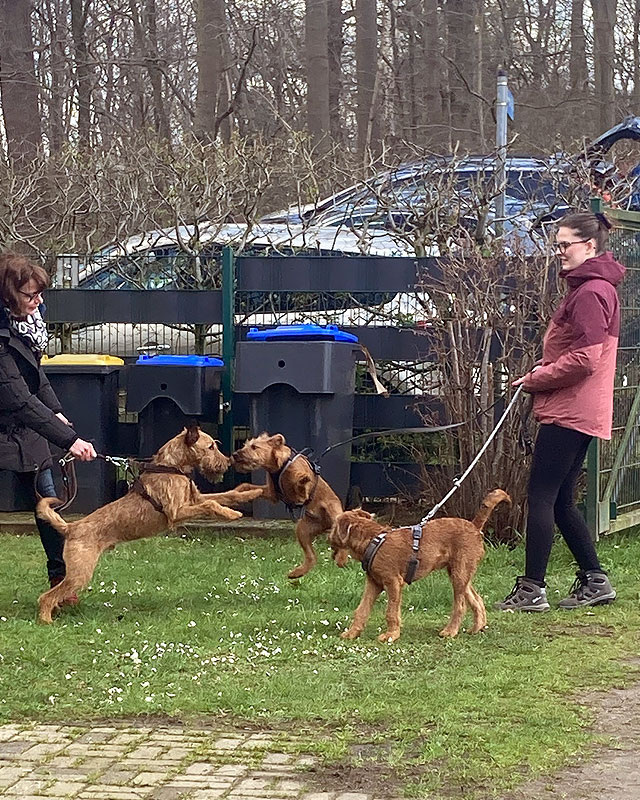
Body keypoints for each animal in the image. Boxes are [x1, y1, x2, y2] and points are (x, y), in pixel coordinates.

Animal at [36, 425, 263, 623]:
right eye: (210, 447)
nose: (227, 462)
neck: (171, 467)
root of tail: (71, 527)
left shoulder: (194, 499)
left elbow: (227, 495)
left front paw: (252, 492)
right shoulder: (177, 513)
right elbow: (212, 503)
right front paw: (231, 514)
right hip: (80, 572)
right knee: (46, 596)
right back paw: (46, 620)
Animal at [231, 432, 347, 578]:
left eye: (254, 447)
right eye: (245, 445)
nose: (235, 454)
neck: (280, 466)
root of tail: (326, 524)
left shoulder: (300, 487)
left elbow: (301, 484)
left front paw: (302, 481)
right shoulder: (272, 494)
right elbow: (248, 486)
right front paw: (239, 491)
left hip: (335, 517)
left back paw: (341, 559)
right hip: (302, 530)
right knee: (311, 557)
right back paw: (297, 573)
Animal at [328, 489, 510, 641]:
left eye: (334, 525)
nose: (328, 538)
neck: (372, 540)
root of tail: (474, 526)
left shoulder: (393, 582)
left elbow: (391, 612)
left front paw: (391, 635)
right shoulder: (374, 583)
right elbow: (362, 609)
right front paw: (352, 633)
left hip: (460, 573)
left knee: (460, 606)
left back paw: (450, 631)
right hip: (459, 573)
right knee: (476, 599)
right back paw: (477, 628)